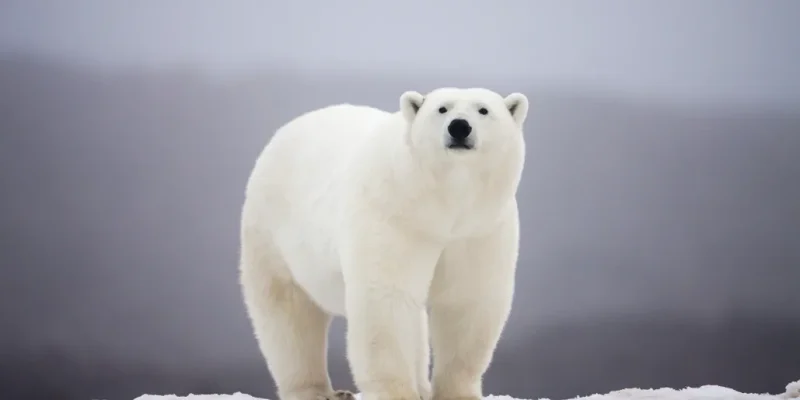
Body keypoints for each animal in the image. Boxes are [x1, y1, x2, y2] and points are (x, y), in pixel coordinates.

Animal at [242, 86, 532, 400]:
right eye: (442, 108)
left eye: (483, 110)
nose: (459, 127)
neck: (444, 205)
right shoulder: (394, 214)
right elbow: (388, 298)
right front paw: (398, 393)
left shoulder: (478, 229)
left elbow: (466, 299)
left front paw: (457, 393)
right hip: (273, 231)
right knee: (288, 311)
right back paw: (317, 391)